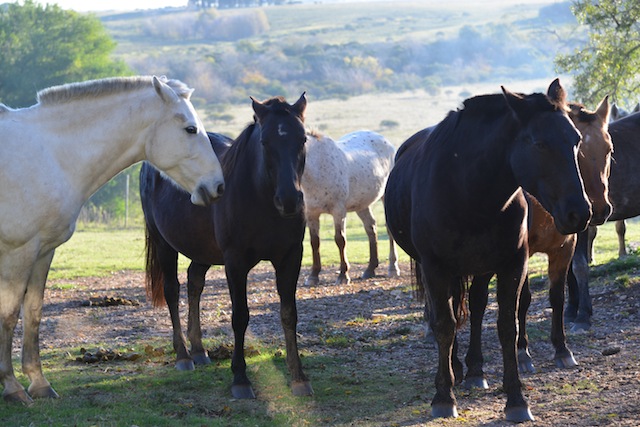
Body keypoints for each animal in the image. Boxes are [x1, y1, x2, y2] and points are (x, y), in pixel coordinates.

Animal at [0, 74, 225, 404]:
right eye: (190, 129)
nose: (218, 186)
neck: (50, 154)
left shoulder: (43, 252)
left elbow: (33, 313)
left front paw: (39, 383)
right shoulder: (19, 253)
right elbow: (9, 314)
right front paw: (12, 387)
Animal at [139, 94, 312, 402]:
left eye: (302, 139)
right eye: (265, 142)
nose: (290, 199)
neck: (259, 196)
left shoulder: (290, 257)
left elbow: (289, 314)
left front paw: (298, 377)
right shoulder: (235, 262)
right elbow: (240, 316)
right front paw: (240, 379)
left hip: (202, 250)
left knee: (195, 282)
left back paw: (199, 350)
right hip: (163, 244)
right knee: (172, 290)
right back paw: (183, 355)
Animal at [302, 129, 400, 286]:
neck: (318, 166)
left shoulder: (339, 211)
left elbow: (340, 240)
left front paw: (343, 275)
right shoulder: (311, 213)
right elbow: (314, 242)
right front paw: (313, 276)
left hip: (385, 197)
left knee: (388, 230)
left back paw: (393, 268)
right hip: (362, 205)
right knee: (370, 227)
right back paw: (370, 269)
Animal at [384, 78, 592, 422]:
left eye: (575, 140)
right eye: (539, 144)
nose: (580, 212)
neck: (468, 190)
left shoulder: (512, 264)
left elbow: (507, 326)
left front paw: (517, 399)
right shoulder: (435, 267)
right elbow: (444, 325)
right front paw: (443, 396)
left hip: (479, 269)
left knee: (477, 306)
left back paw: (474, 370)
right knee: (448, 314)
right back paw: (455, 369)